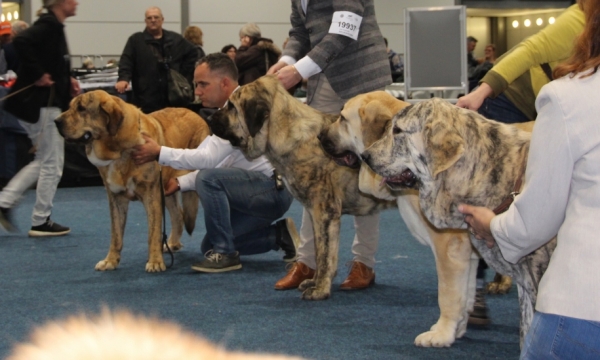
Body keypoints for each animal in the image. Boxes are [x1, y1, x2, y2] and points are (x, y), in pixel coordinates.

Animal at [55, 90, 211, 272]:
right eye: (70, 106)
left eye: (81, 108)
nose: (56, 121)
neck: (119, 151)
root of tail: (195, 114)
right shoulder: (116, 198)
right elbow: (116, 234)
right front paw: (110, 260)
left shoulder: (151, 195)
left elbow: (153, 232)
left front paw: (155, 261)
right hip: (166, 189)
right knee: (178, 214)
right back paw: (172, 243)